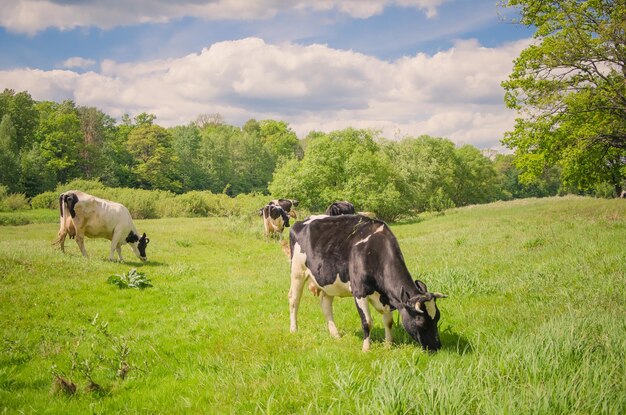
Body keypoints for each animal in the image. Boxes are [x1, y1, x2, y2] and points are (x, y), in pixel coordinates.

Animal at [288, 214, 444, 352]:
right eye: (420, 321)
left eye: (437, 318)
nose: (436, 347)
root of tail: (301, 221)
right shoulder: (359, 291)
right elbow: (367, 322)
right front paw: (366, 349)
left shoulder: (386, 298)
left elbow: (388, 321)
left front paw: (388, 345)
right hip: (297, 272)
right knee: (294, 300)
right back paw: (294, 329)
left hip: (328, 282)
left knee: (326, 305)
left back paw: (336, 335)